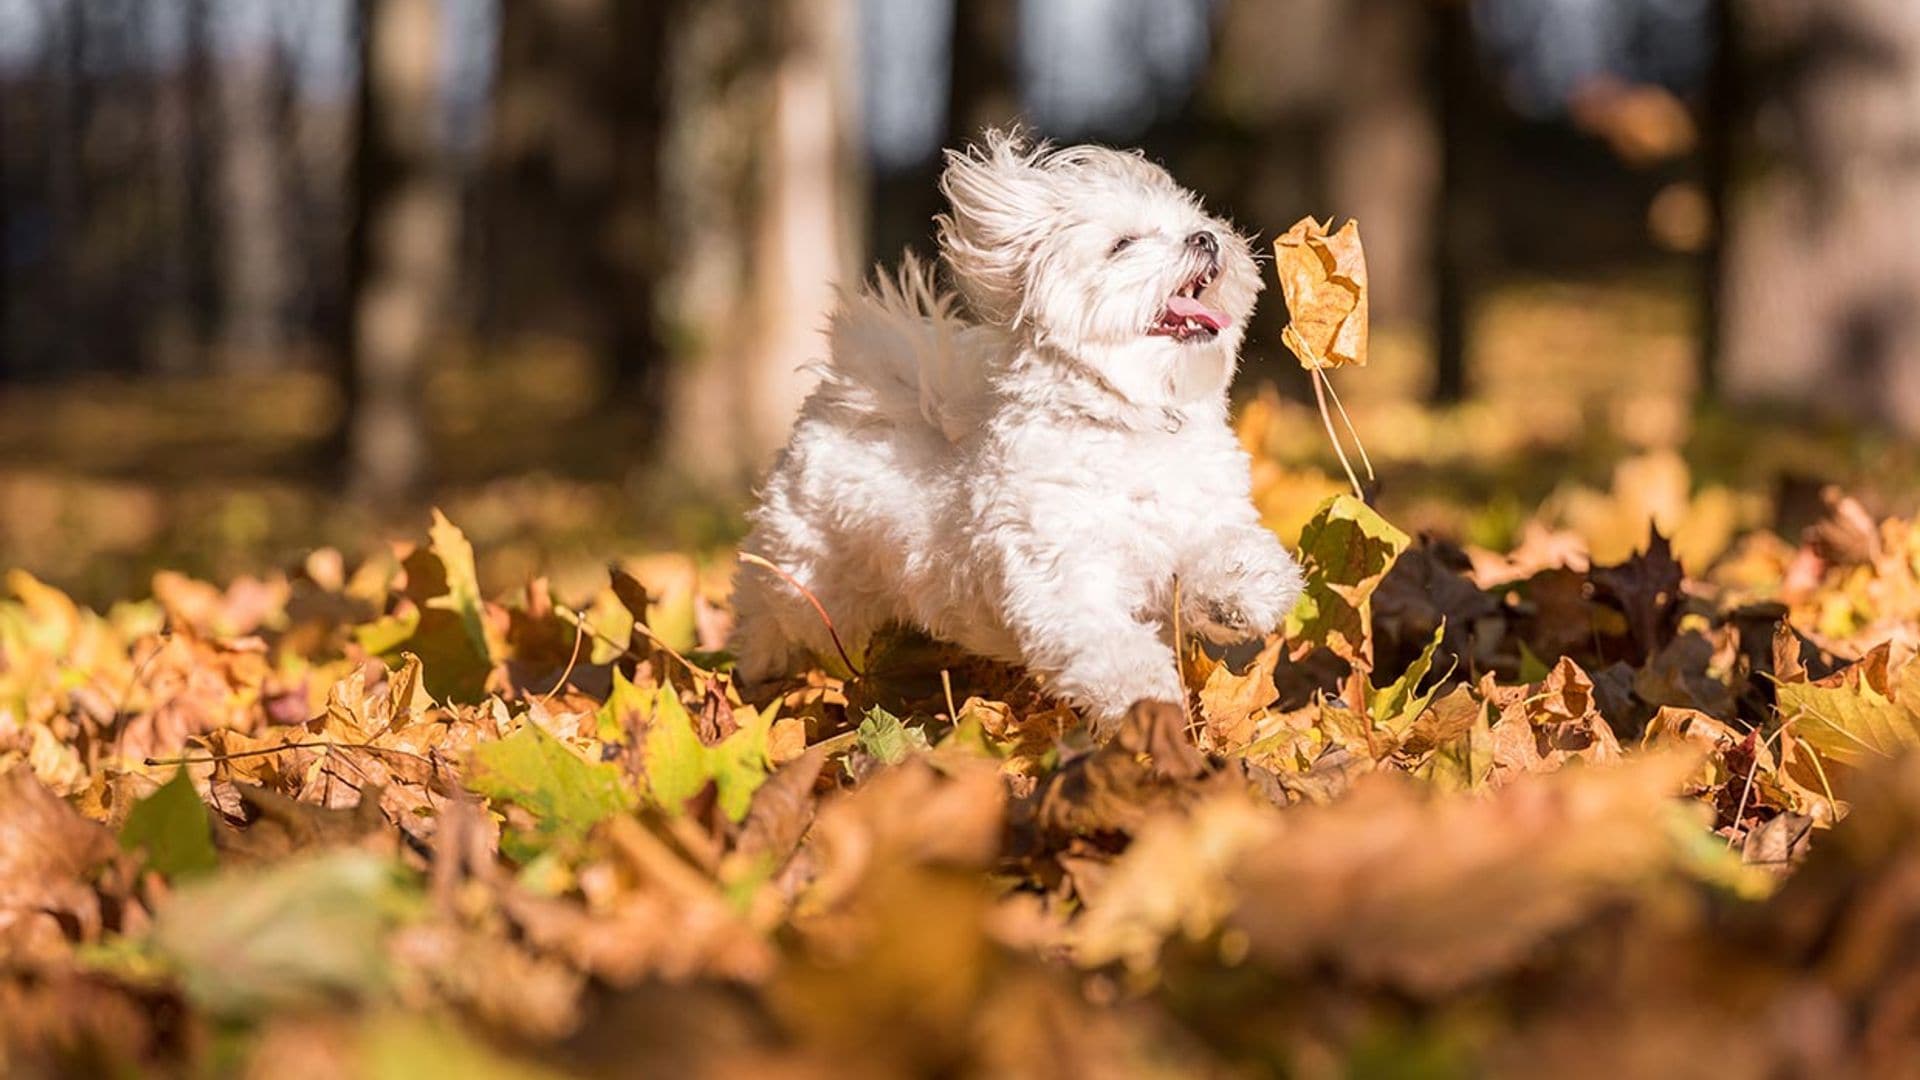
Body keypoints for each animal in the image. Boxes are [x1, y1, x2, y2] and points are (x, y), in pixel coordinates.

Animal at [733, 127, 1305, 730]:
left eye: (1195, 220)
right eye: (1123, 243)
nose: (1205, 238)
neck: (1133, 419)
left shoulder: (1204, 519)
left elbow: (1228, 550)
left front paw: (1241, 592)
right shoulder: (1062, 574)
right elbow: (1107, 643)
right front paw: (1143, 699)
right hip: (808, 582)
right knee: (769, 609)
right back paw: (757, 673)